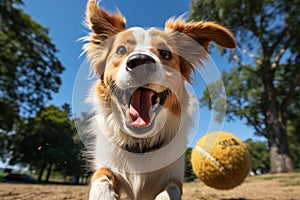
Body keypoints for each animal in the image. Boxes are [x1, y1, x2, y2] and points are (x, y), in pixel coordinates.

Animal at [82, 0, 237, 199]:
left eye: (165, 53)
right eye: (121, 50)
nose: (140, 61)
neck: (141, 143)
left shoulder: (175, 179)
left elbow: (169, 190)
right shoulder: (106, 165)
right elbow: (101, 176)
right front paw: (103, 194)